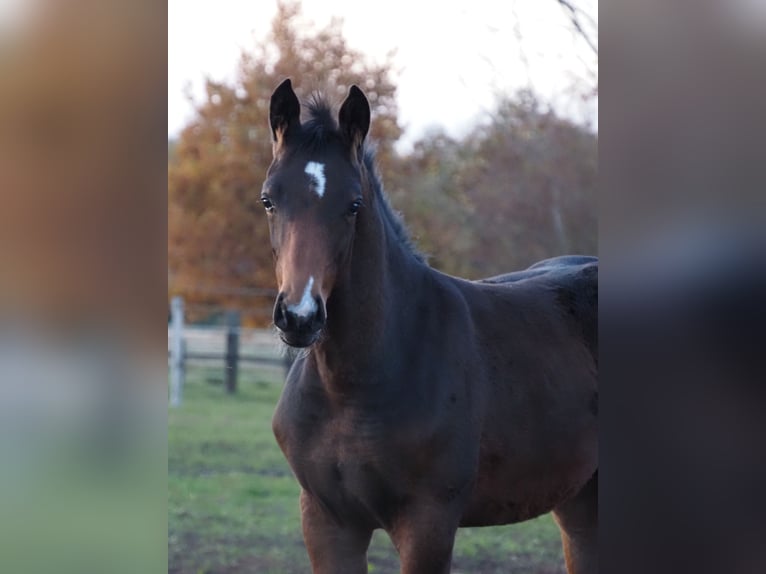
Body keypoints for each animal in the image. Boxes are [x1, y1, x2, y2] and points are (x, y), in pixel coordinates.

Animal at [263, 79, 598, 574]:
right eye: (268, 200)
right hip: (579, 501)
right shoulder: (326, 521)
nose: (300, 316)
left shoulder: (428, 523)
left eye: (354, 205)